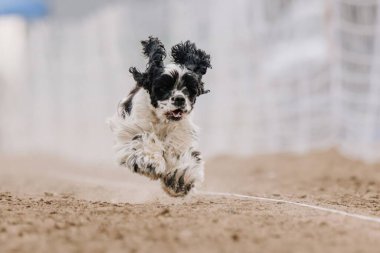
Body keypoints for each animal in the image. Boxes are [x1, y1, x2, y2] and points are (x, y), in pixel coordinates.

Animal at [107, 36, 211, 197]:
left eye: (189, 89)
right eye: (163, 87)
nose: (179, 99)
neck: (162, 121)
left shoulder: (181, 134)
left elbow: (180, 154)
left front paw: (178, 180)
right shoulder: (133, 128)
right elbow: (143, 141)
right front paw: (151, 161)